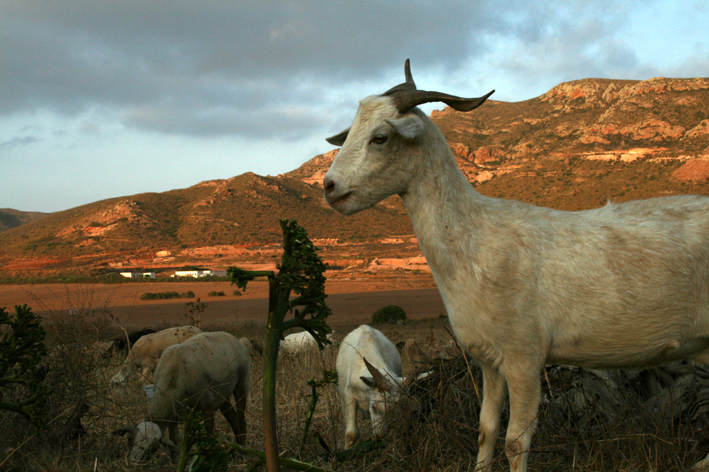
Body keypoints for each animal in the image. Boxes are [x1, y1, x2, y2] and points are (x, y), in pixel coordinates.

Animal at [115, 330, 250, 462]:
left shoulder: (207, 408)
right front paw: (175, 461)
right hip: (222, 396)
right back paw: (237, 445)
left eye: (153, 447)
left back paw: (241, 450)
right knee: (232, 417)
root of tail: (234, 339)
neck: (172, 380)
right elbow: (173, 442)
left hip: (242, 383)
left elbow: (209, 435)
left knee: (240, 417)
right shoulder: (174, 415)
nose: (133, 462)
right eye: (130, 439)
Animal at [322, 60, 709, 472]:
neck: (474, 241)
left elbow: (515, 441)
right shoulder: (489, 359)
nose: (329, 187)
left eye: (380, 137)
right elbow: (486, 429)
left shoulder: (525, 355)